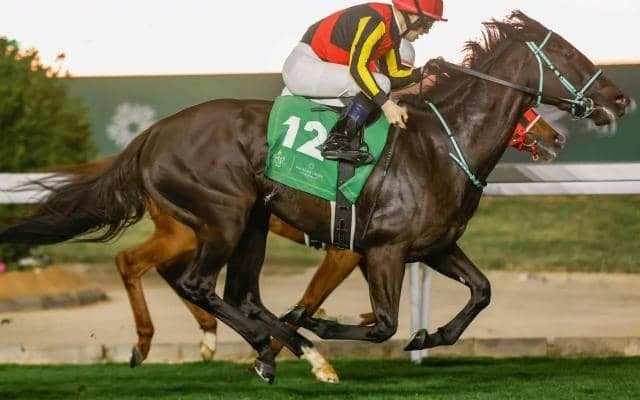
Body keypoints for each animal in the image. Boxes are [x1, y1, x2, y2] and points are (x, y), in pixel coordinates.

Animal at [0, 11, 629, 383]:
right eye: (570, 56)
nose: (620, 99)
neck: (441, 143)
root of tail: (151, 133)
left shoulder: (431, 246)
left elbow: (482, 291)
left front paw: (431, 335)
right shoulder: (377, 249)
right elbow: (381, 322)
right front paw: (323, 326)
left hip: (248, 223)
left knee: (235, 292)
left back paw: (279, 346)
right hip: (222, 216)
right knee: (196, 283)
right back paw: (278, 345)